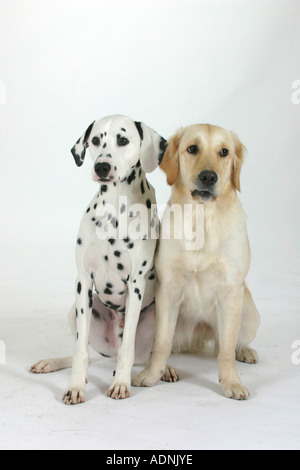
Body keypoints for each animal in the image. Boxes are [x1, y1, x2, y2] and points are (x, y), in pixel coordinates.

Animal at [29, 114, 178, 404]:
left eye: (123, 140)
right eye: (96, 140)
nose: (102, 167)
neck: (114, 208)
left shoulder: (136, 284)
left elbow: (129, 346)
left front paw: (121, 383)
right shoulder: (83, 282)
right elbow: (80, 352)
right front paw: (76, 385)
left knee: (151, 353)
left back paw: (163, 369)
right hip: (75, 311)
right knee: (83, 350)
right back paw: (52, 362)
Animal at [134, 123, 260, 398]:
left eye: (224, 152)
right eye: (192, 149)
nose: (209, 177)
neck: (202, 219)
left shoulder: (231, 291)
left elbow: (226, 350)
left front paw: (231, 382)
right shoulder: (167, 290)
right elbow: (162, 342)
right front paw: (151, 374)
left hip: (249, 312)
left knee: (231, 343)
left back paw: (244, 351)